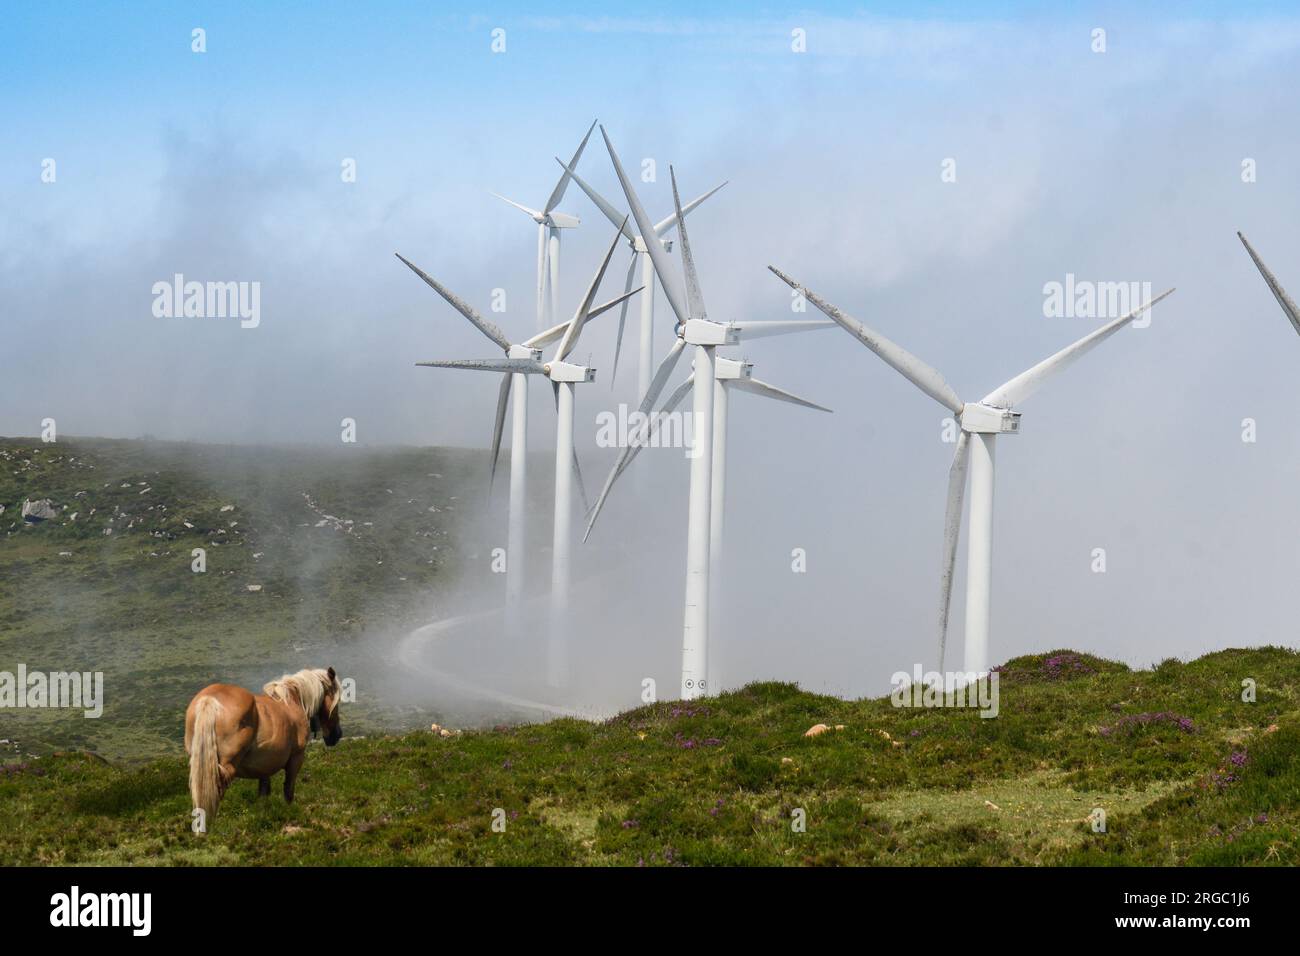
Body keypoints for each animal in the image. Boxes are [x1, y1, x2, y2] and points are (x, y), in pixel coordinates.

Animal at [187, 665, 345, 822]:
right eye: (336, 702)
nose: (336, 735)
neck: (292, 702)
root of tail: (209, 700)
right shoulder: (296, 758)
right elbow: (288, 790)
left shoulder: (264, 767)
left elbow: (264, 794)